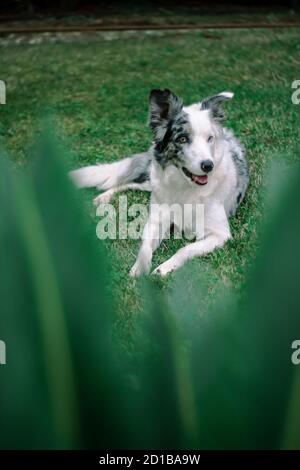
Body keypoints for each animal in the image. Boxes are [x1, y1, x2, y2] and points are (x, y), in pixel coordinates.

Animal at [70, 89, 248, 276]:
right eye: (182, 139)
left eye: (210, 138)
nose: (208, 165)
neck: (184, 187)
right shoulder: (156, 221)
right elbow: (145, 247)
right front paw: (139, 269)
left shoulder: (220, 234)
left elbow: (185, 249)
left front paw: (164, 268)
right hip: (151, 181)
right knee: (127, 183)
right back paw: (104, 197)